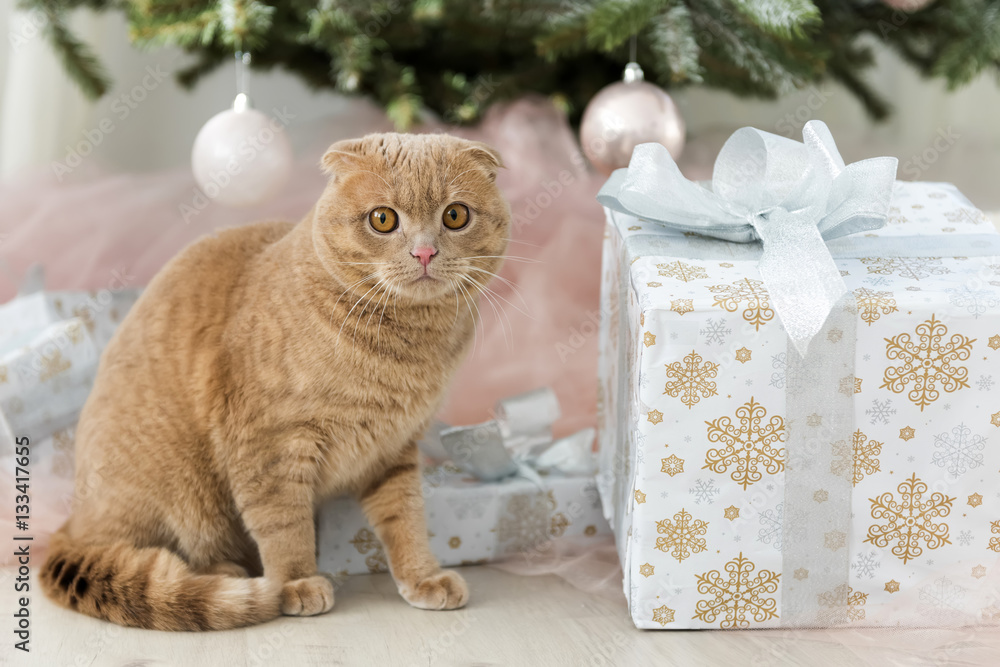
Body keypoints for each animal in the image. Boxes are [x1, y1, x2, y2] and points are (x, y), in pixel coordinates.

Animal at [39, 134, 508, 632]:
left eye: (455, 215)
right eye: (383, 219)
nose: (424, 252)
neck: (406, 347)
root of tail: (72, 522)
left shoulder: (393, 449)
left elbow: (406, 518)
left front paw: (423, 577)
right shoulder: (268, 446)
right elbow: (284, 525)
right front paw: (295, 583)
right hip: (181, 492)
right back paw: (228, 575)